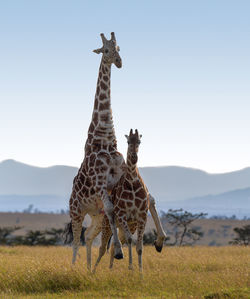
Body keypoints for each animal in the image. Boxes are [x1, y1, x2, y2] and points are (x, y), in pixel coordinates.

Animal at [93, 129, 149, 274]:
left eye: (139, 141)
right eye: (128, 141)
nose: (134, 157)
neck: (133, 182)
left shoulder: (142, 216)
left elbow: (139, 246)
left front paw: (140, 273)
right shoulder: (123, 215)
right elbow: (130, 240)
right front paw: (131, 268)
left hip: (128, 226)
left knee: (113, 246)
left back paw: (111, 269)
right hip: (107, 226)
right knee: (102, 248)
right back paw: (92, 272)